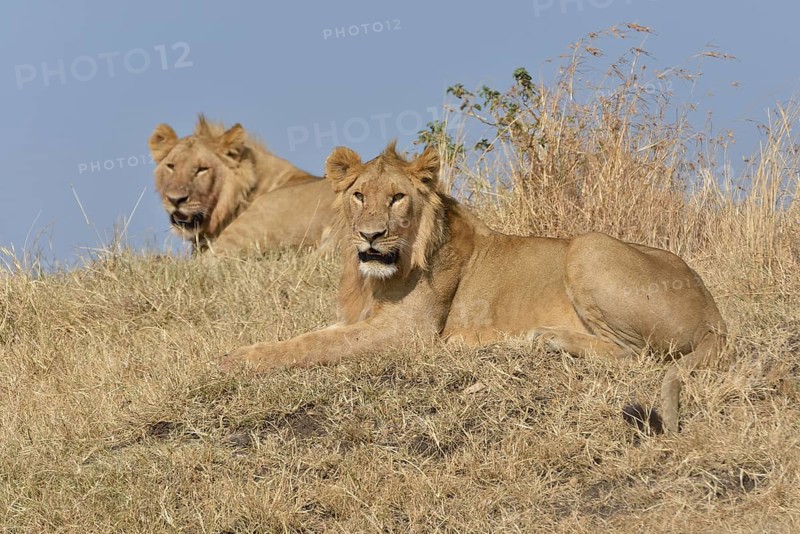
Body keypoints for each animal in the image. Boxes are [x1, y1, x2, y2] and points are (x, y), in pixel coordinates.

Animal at [221, 142, 727, 434]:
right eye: (359, 195)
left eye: (397, 198)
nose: (370, 235)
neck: (376, 278)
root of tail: (714, 315)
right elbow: (308, 336)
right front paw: (245, 351)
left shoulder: (409, 333)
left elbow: (318, 346)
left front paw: (237, 361)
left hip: (587, 245)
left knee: (636, 355)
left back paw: (546, 338)